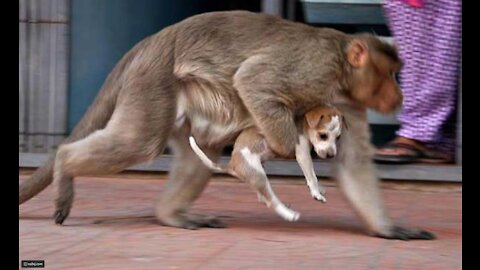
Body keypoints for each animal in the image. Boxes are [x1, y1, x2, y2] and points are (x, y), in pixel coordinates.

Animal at [189, 105, 344, 221]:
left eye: (338, 137)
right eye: (323, 136)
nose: (331, 155)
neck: (302, 124)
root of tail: (232, 164)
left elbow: (312, 176)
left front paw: (320, 188)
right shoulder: (302, 154)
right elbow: (312, 176)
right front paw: (316, 193)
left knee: (263, 197)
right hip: (258, 175)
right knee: (271, 200)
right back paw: (289, 214)